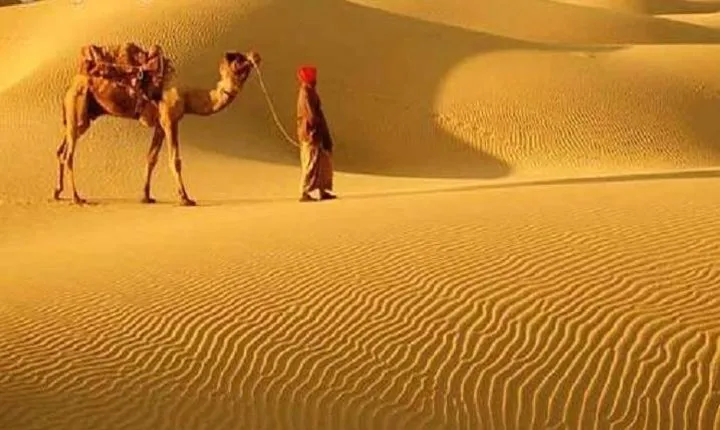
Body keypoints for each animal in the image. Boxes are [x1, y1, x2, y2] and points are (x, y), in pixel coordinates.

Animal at [55, 45, 262, 206]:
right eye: (239, 59)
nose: (256, 55)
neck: (187, 97)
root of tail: (72, 83)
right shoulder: (170, 120)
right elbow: (175, 160)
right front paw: (185, 198)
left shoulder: (160, 125)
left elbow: (151, 158)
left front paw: (146, 196)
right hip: (78, 104)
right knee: (69, 154)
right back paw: (77, 198)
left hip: (84, 115)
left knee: (62, 150)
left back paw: (57, 192)